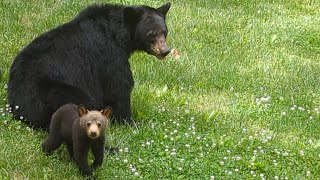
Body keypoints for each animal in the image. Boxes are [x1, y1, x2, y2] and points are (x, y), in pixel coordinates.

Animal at [6, 2, 171, 129]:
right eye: (151, 34)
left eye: (165, 31)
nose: (165, 51)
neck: (119, 35)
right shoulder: (110, 55)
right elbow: (118, 87)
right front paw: (130, 122)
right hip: (52, 91)